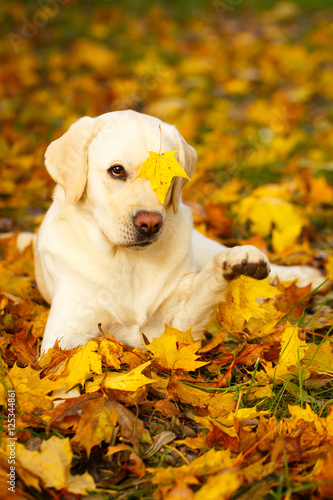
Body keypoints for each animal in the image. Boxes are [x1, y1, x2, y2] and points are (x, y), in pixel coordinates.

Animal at [35, 110, 326, 354]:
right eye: (116, 171)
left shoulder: (175, 326)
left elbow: (205, 288)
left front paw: (235, 261)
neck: (127, 262)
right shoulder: (63, 335)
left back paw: (302, 274)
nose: (150, 223)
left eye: (168, 177)